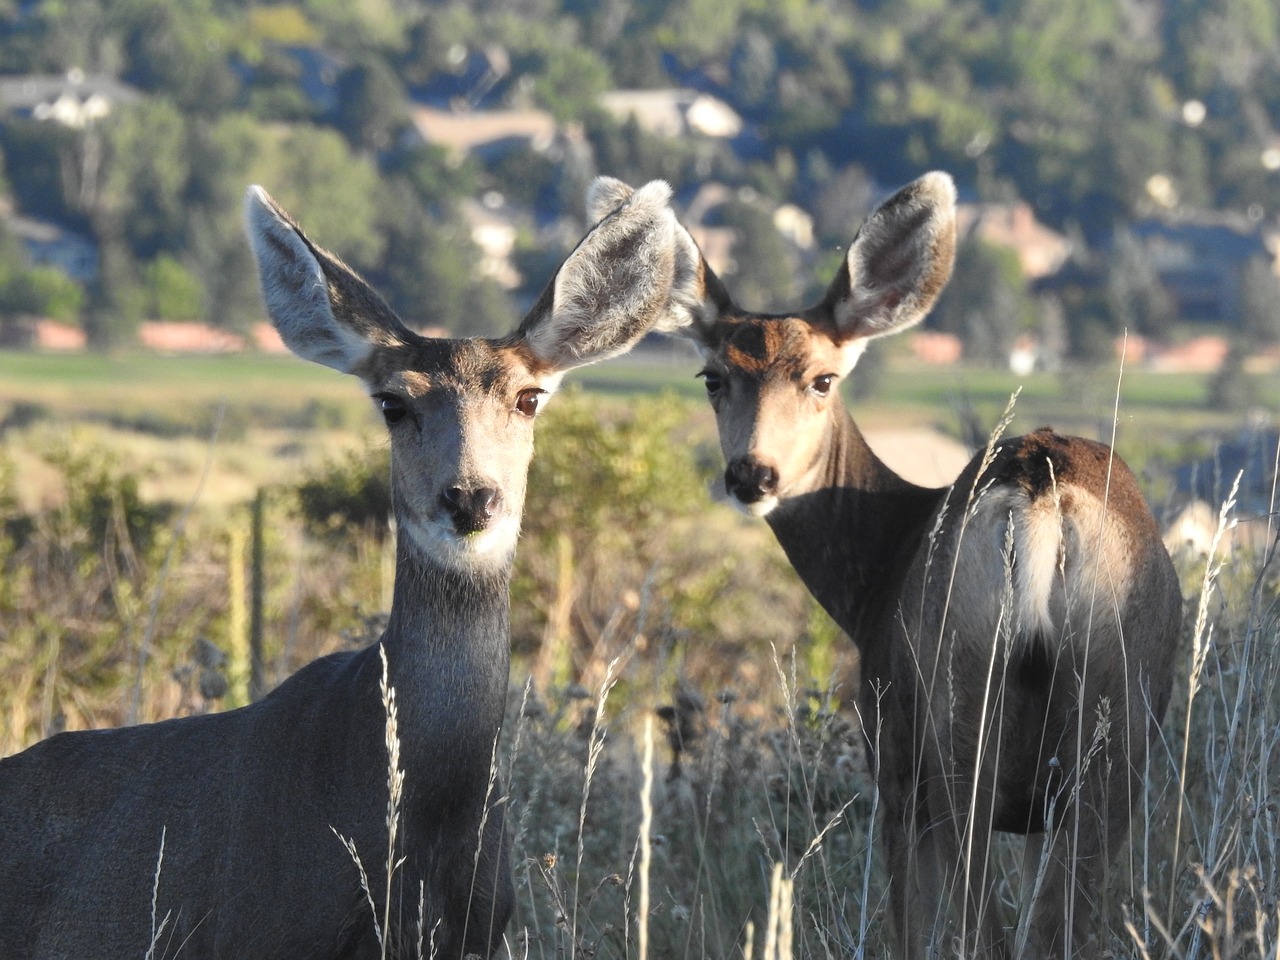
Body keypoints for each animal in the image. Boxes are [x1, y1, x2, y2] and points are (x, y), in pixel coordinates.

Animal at [593, 175, 1182, 960]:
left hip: (952, 713)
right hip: (1116, 718)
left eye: (821, 379)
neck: (876, 571)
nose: (752, 473)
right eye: (713, 376)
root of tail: (1038, 496)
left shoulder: (893, 762)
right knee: (1060, 921)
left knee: (980, 918)